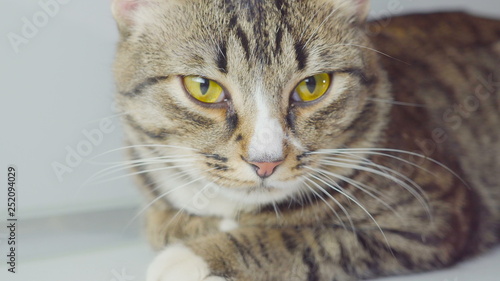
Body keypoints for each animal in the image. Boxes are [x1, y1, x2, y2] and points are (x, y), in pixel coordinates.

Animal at [109, 0, 500, 280]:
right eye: (203, 88)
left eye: (313, 85)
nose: (265, 161)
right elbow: (160, 222)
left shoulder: (429, 215)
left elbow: (312, 238)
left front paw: (197, 256)